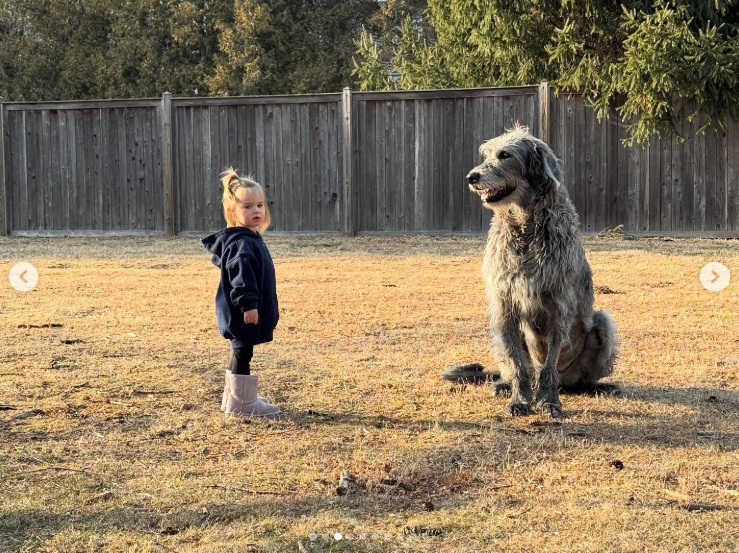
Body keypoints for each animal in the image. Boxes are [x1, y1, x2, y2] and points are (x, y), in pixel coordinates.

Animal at [446, 124, 620, 418]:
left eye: (505, 155)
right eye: (487, 154)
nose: (472, 177)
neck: (526, 225)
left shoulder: (559, 305)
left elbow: (549, 365)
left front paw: (548, 401)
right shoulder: (504, 305)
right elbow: (519, 365)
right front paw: (519, 399)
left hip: (603, 323)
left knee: (575, 377)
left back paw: (593, 387)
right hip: (498, 334)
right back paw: (503, 385)